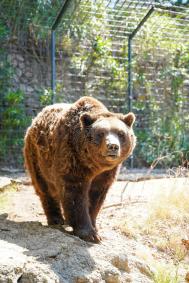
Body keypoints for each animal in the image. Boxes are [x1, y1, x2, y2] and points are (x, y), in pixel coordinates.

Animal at [24, 96, 136, 243]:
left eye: (121, 133)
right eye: (101, 133)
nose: (112, 146)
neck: (93, 164)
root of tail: (35, 119)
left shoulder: (105, 173)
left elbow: (96, 197)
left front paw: (94, 226)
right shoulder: (72, 158)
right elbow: (75, 194)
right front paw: (89, 234)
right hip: (37, 157)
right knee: (44, 188)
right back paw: (56, 219)